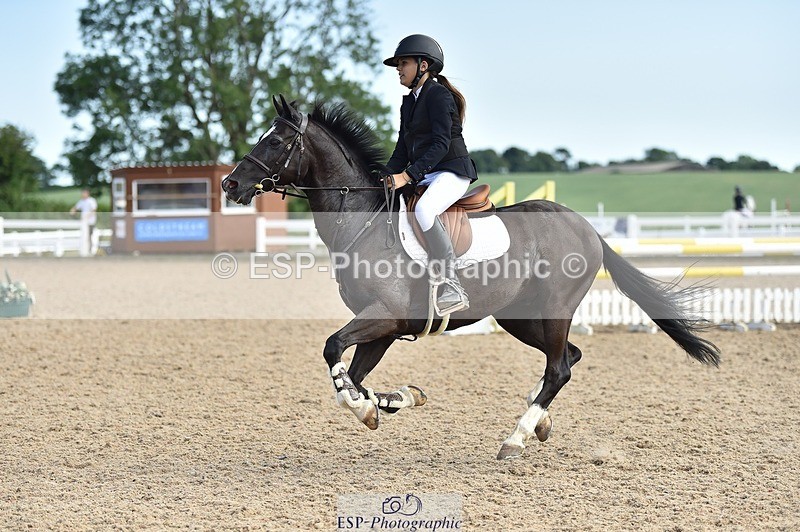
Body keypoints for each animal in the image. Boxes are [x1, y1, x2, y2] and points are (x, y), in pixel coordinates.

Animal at [222, 95, 720, 460]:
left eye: (275, 143)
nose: (230, 184)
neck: (362, 220)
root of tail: (583, 225)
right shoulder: (384, 326)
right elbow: (354, 375)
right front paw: (393, 401)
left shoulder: (383, 316)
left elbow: (333, 352)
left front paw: (368, 408)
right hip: (520, 317)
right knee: (566, 358)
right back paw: (539, 421)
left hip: (554, 309)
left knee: (559, 367)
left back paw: (516, 438)